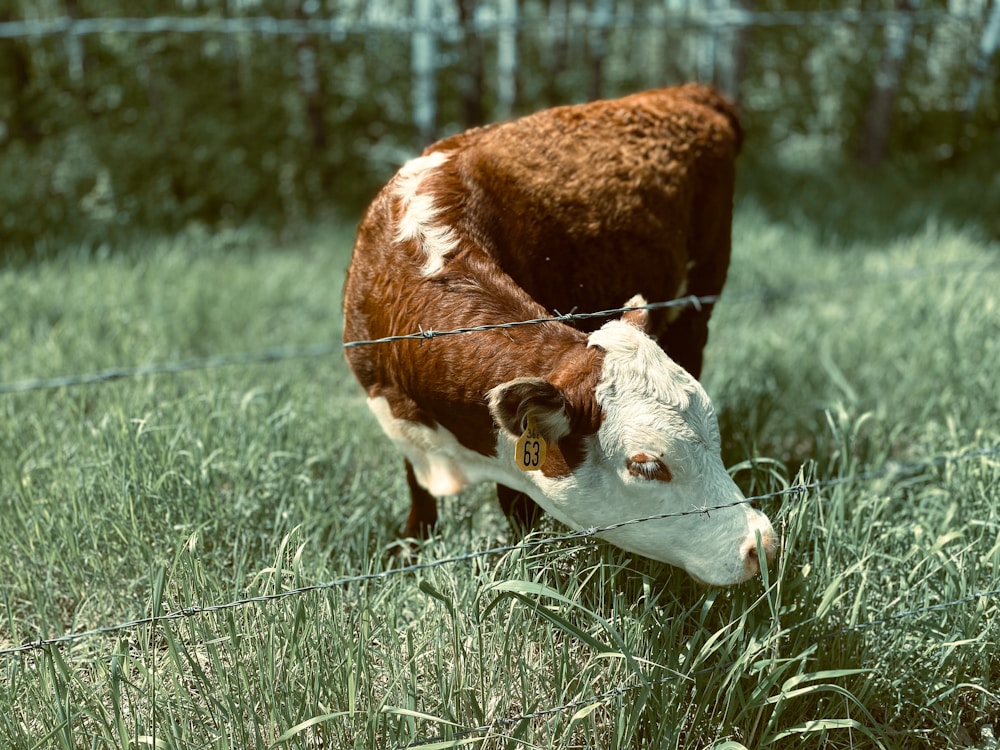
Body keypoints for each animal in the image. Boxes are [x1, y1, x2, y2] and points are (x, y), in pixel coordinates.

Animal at [342, 83, 776, 586]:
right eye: (647, 465)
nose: (762, 544)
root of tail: (683, 91)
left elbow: (516, 504)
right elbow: (418, 492)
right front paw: (410, 554)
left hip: (701, 297)